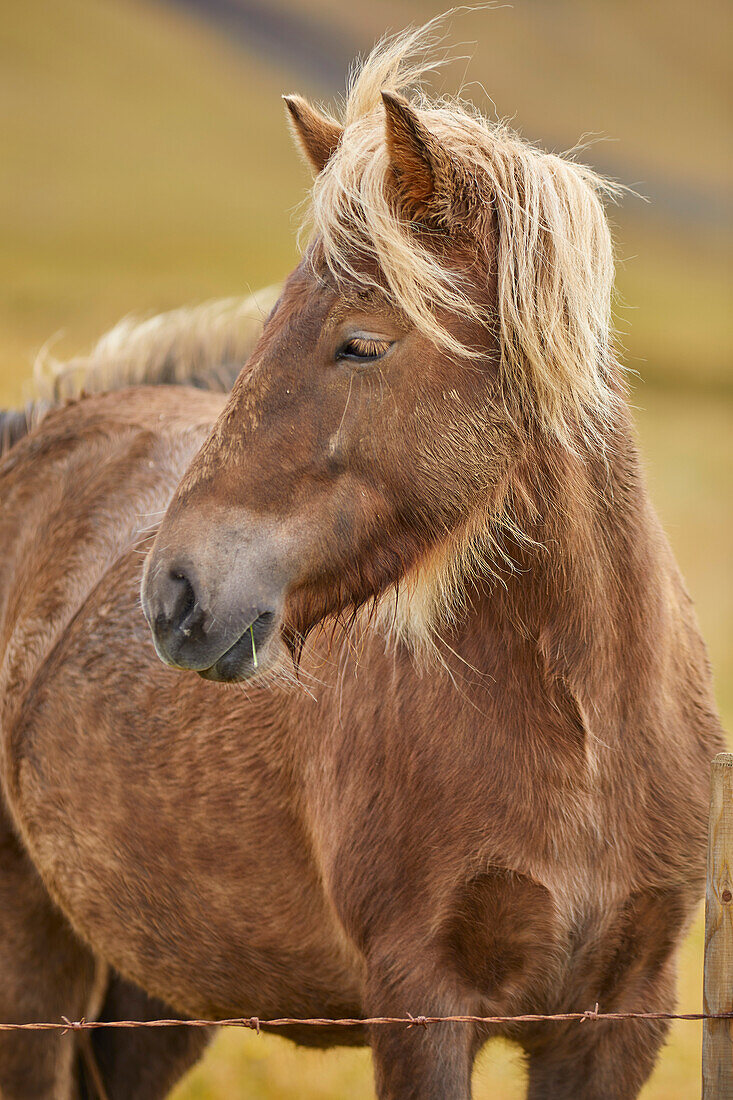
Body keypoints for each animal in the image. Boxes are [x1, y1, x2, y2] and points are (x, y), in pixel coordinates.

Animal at [0, 23, 717, 1100]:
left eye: (362, 344)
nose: (174, 594)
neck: (587, 734)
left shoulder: (616, 1018)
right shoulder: (421, 1000)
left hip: (157, 994)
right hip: (35, 955)